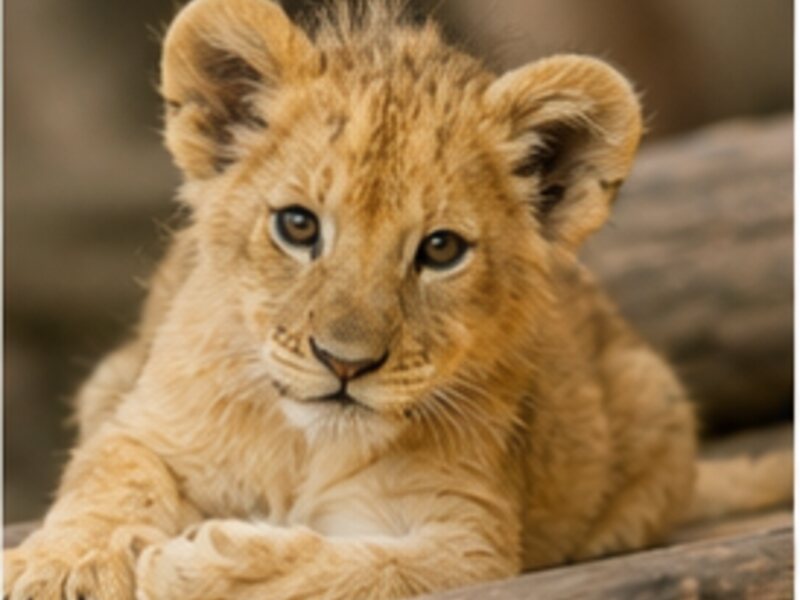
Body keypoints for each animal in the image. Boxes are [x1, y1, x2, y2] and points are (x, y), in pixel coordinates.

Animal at [4, 1, 790, 599]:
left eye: (440, 249)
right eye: (298, 226)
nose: (345, 364)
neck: (305, 448)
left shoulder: (473, 536)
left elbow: (366, 571)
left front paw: (209, 565)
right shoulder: (144, 424)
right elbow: (107, 481)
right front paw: (60, 568)